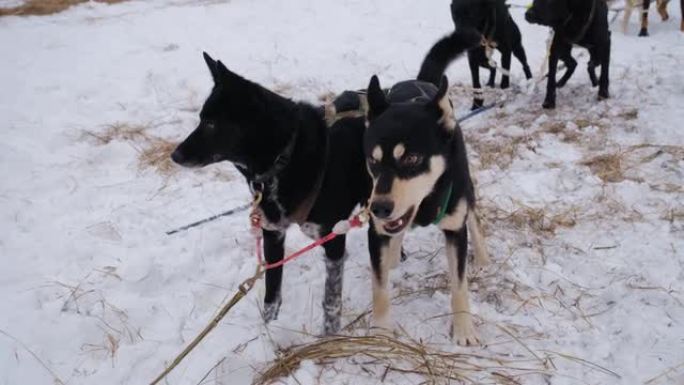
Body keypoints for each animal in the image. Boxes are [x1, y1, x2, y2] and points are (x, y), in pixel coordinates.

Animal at [174, 52, 372, 334]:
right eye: (201, 117)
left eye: (211, 123)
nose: (175, 155)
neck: (285, 157)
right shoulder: (272, 234)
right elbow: (272, 291)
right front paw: (268, 330)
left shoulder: (332, 240)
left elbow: (331, 301)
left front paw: (330, 337)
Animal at [360, 75, 488, 344]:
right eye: (373, 161)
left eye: (412, 159)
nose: (378, 209)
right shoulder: (376, 233)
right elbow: (379, 287)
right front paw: (381, 330)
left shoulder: (455, 230)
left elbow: (459, 285)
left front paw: (463, 329)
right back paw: (393, 257)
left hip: (466, 192)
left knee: (474, 219)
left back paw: (483, 258)